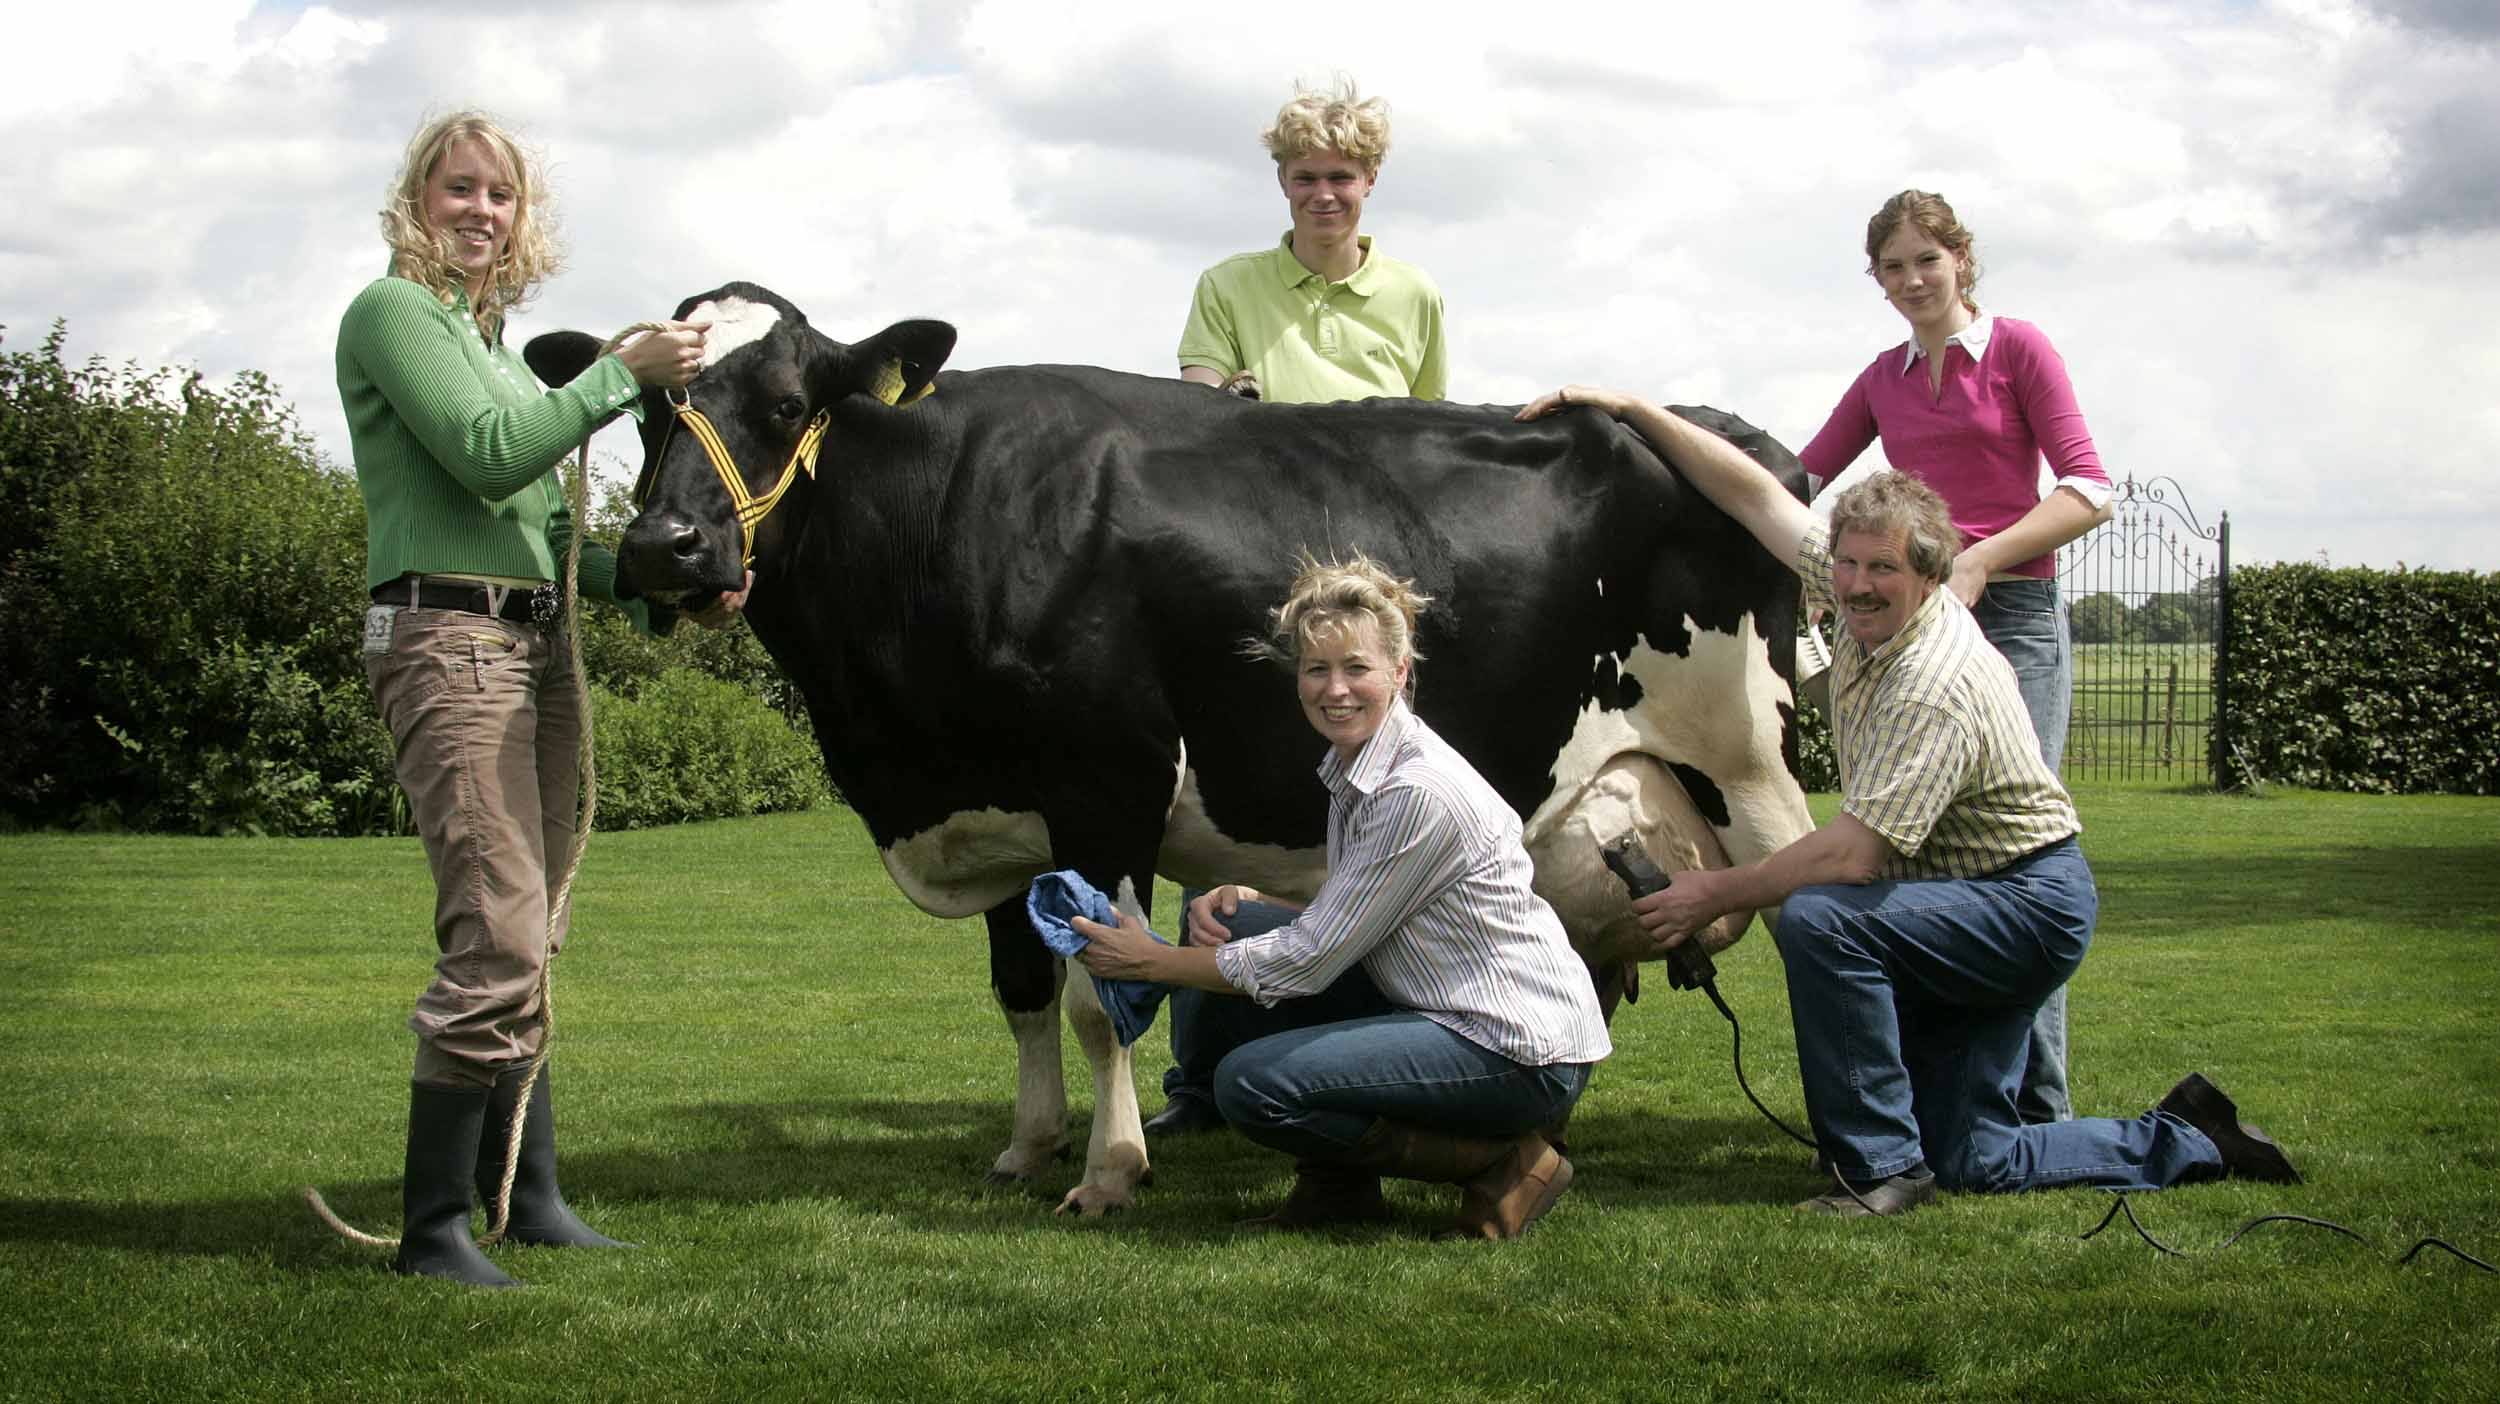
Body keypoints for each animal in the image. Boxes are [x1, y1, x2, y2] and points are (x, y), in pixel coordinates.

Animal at [527, 278, 1820, 1209]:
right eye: (642, 408)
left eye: (788, 407)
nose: (662, 547)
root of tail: (1730, 434)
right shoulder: (1006, 809)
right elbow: (1020, 991)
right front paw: (1028, 1147)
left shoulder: (1106, 785)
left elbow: (1103, 996)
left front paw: (1108, 1171)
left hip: (1750, 764)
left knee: (1804, 904)